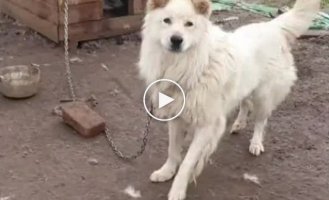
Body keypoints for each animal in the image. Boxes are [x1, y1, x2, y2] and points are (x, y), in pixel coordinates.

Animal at [138, 0, 318, 200]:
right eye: (166, 21)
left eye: (189, 24)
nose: (176, 40)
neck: (188, 65)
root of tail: (273, 26)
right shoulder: (176, 117)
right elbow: (172, 151)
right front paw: (166, 172)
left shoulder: (206, 126)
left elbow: (187, 163)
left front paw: (177, 190)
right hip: (245, 86)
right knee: (245, 103)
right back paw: (239, 124)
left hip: (263, 94)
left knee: (261, 120)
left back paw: (256, 143)